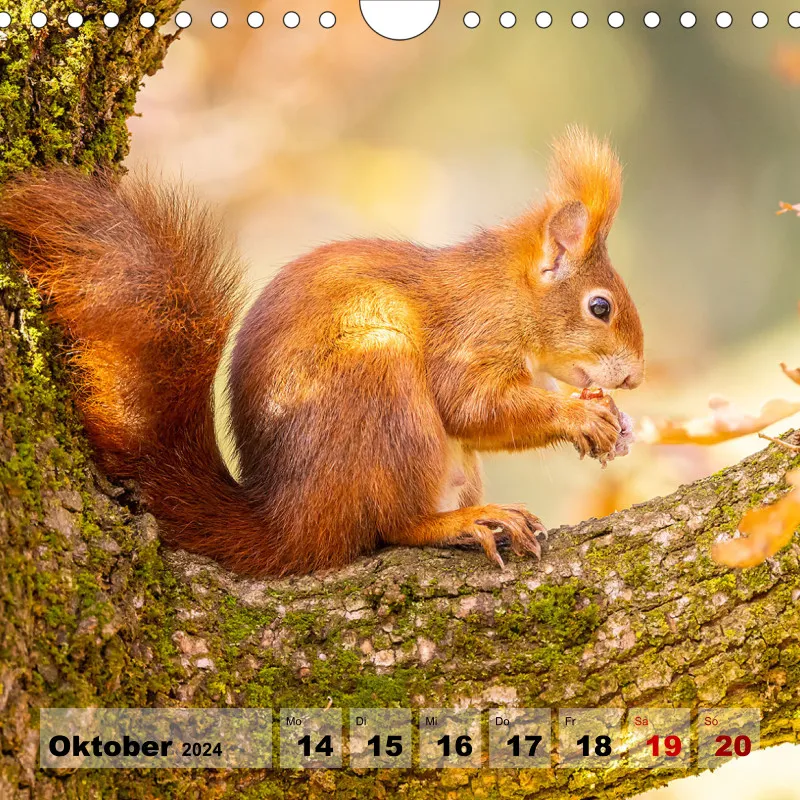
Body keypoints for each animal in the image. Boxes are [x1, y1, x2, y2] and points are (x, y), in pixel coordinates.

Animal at [0, 126, 643, 577]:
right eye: (600, 307)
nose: (634, 378)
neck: (509, 295)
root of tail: (290, 523)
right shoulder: (470, 336)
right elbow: (471, 406)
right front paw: (582, 416)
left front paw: (613, 418)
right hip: (381, 384)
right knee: (392, 524)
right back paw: (458, 522)